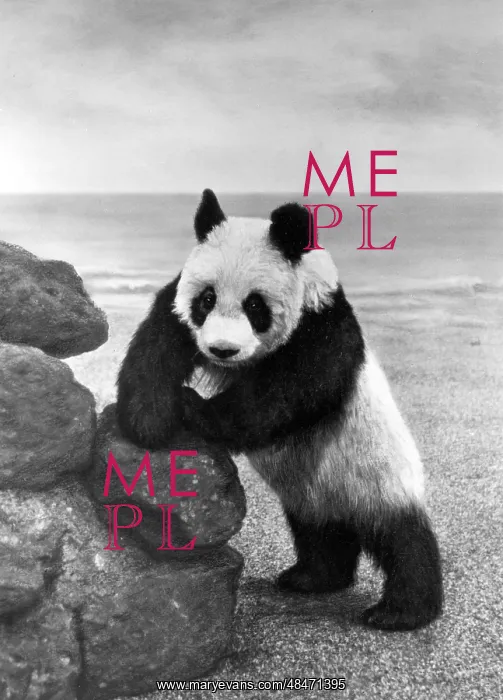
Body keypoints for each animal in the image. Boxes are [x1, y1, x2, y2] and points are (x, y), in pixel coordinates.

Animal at [116, 188, 443, 631]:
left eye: (256, 306)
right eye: (206, 299)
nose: (221, 350)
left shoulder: (321, 325)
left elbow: (285, 392)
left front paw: (192, 405)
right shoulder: (180, 303)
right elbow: (159, 342)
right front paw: (148, 419)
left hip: (377, 473)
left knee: (403, 538)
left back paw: (400, 611)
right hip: (312, 495)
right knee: (319, 534)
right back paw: (312, 578)